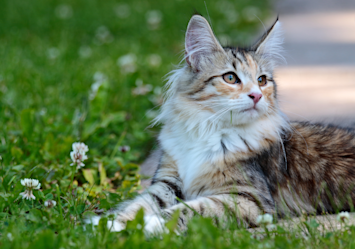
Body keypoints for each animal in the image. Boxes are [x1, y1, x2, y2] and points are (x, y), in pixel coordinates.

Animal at [97, 15, 355, 233]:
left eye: (262, 80)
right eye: (230, 77)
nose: (256, 96)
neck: (210, 130)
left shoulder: (248, 198)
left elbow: (190, 210)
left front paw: (151, 224)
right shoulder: (168, 182)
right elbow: (138, 205)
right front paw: (109, 225)